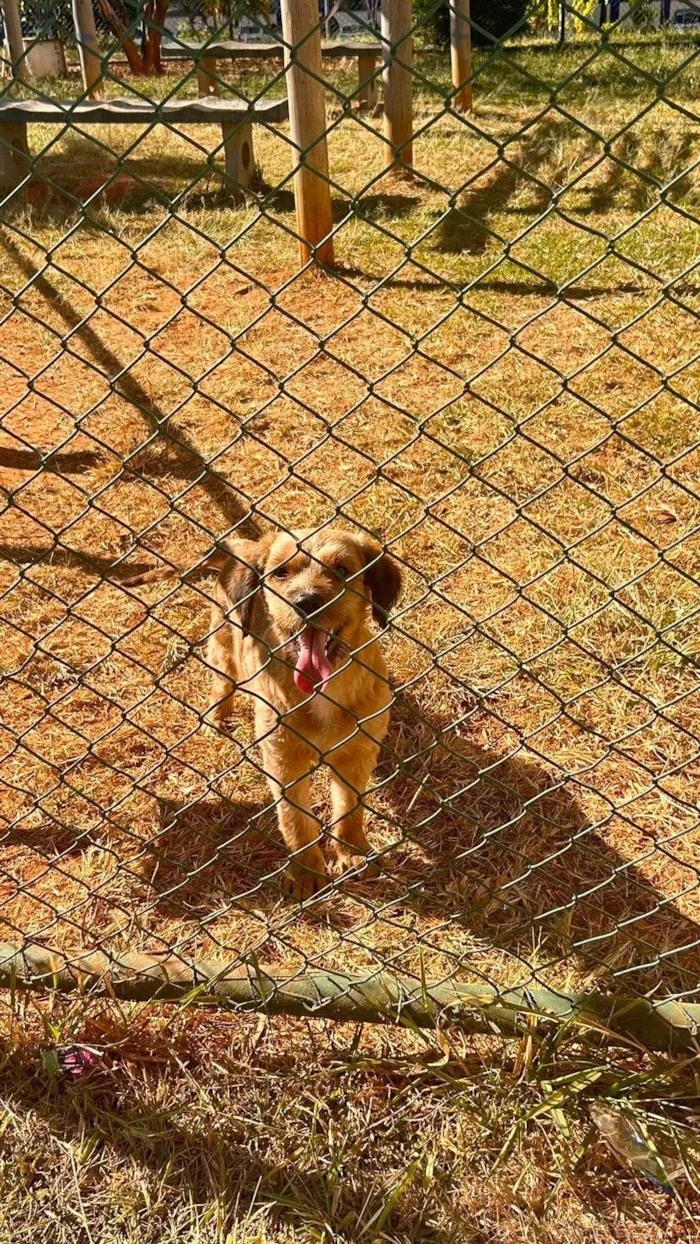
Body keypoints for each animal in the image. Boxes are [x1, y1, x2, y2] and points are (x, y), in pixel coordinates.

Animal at [207, 529, 402, 900]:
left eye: (341, 569)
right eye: (281, 572)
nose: (307, 601)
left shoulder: (356, 754)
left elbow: (349, 808)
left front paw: (352, 851)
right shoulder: (283, 762)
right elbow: (294, 819)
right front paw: (305, 872)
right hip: (223, 642)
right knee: (223, 679)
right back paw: (216, 716)